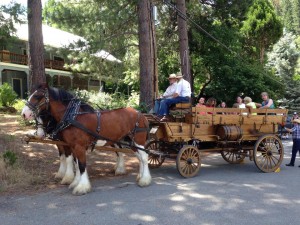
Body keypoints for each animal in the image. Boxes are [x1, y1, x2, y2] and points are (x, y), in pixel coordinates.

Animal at [22, 84, 151, 195]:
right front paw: (74, 182)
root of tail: (141, 114)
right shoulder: (71, 145)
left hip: (138, 140)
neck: (73, 117)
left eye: (37, 96)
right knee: (139, 157)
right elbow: (76, 164)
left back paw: (145, 180)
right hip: (131, 142)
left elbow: (81, 165)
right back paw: (140, 176)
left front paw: (81, 187)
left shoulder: (78, 146)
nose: (24, 114)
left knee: (144, 157)